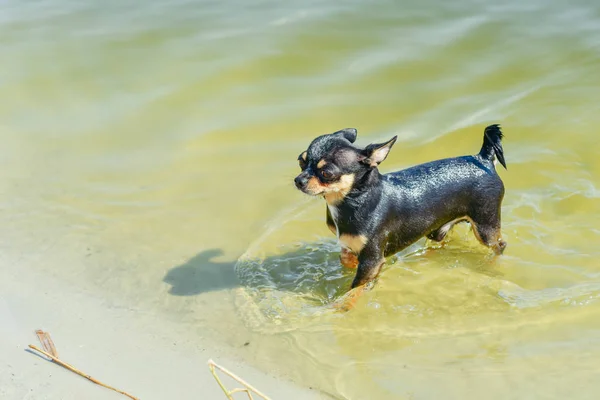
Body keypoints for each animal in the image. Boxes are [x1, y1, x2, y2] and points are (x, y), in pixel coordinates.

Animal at [296, 123, 506, 292]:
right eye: (301, 161)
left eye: (326, 173)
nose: (298, 180)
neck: (354, 199)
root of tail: (482, 158)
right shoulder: (351, 247)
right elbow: (346, 259)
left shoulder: (372, 260)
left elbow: (354, 289)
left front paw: (342, 306)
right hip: (438, 229)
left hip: (485, 227)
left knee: (500, 246)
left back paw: (492, 265)